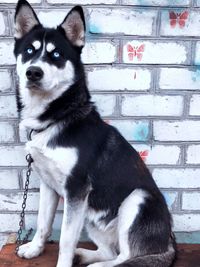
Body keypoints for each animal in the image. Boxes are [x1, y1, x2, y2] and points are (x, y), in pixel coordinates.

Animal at [14, 0, 176, 267]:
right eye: (29, 51)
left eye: (56, 55)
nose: (34, 72)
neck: (57, 116)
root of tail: (169, 242)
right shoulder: (48, 184)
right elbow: (42, 223)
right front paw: (35, 248)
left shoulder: (76, 190)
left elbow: (65, 241)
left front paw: (63, 262)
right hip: (93, 216)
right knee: (110, 250)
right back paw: (84, 255)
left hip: (137, 199)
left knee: (126, 256)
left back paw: (99, 264)